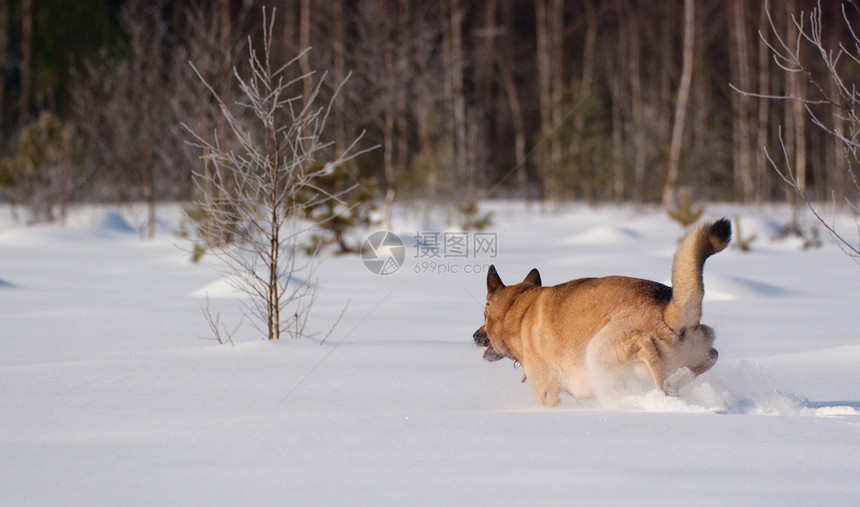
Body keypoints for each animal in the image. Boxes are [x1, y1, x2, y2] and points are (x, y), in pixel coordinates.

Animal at [474, 218, 728, 404]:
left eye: (484, 317)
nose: (475, 336)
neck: (517, 310)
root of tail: (669, 312)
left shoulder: (545, 389)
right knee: (712, 355)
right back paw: (677, 380)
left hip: (598, 349)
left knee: (647, 351)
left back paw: (662, 386)